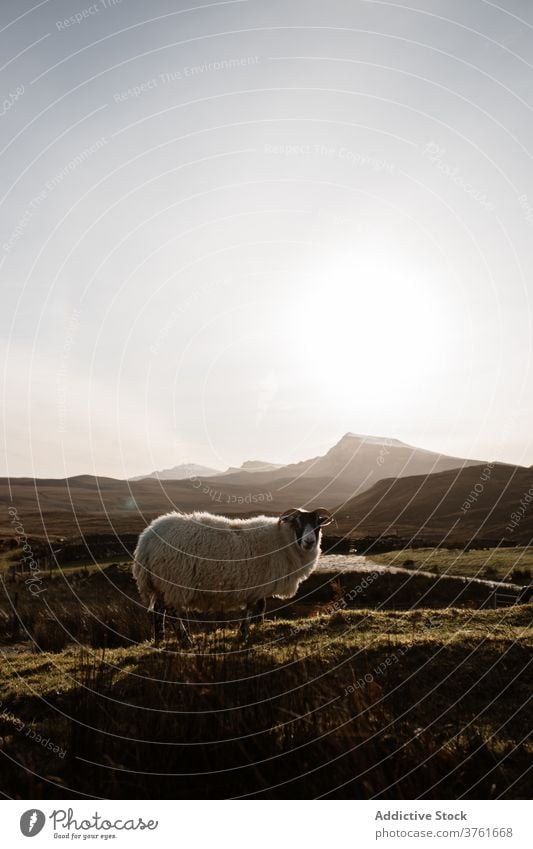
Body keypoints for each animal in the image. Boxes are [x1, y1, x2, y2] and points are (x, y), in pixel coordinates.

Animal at [132, 506, 332, 644]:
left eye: (318, 524)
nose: (309, 542)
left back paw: (160, 640)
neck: (283, 541)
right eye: (297, 522)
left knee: (159, 610)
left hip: (160, 583)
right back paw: (185, 642)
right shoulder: (256, 585)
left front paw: (257, 627)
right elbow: (253, 609)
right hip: (173, 581)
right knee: (171, 612)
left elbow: (260, 607)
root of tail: (147, 539)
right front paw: (244, 634)